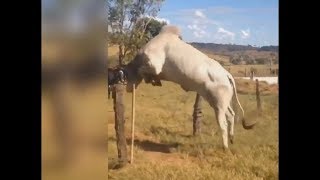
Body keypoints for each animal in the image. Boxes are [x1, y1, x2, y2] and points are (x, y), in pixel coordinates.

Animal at [125, 25, 255, 149]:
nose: (128, 89)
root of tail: (227, 74)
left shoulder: (154, 65)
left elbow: (142, 71)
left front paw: (152, 79)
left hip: (219, 105)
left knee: (223, 124)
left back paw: (225, 147)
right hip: (218, 103)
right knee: (231, 115)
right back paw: (232, 139)